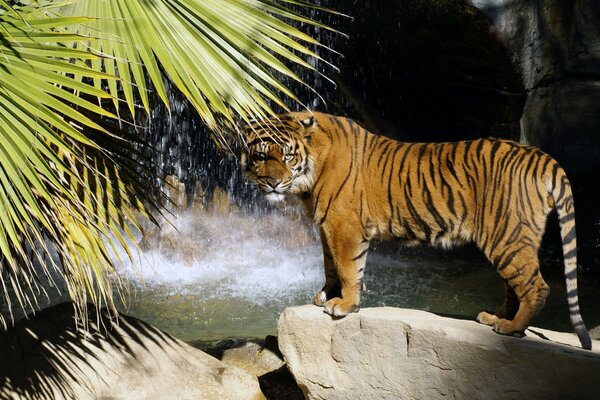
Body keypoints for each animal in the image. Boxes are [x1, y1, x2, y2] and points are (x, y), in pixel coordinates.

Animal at [241, 110, 592, 350]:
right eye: (260, 156)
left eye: (288, 156)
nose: (272, 183)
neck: (310, 175)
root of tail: (540, 155)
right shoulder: (326, 226)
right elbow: (330, 266)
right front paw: (326, 295)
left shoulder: (344, 226)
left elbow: (347, 267)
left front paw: (344, 305)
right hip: (513, 238)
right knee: (514, 286)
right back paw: (495, 318)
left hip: (507, 237)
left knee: (536, 287)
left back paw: (511, 328)